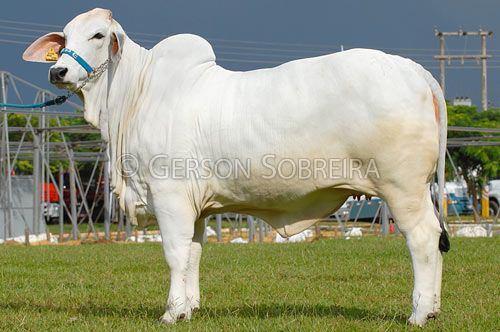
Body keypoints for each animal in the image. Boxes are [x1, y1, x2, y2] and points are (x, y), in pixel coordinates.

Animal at [22, 8, 450, 326]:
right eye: (64, 38)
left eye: (97, 35)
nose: (58, 72)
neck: (135, 94)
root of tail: (414, 71)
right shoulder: (195, 207)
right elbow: (193, 253)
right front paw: (190, 307)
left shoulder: (169, 195)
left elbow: (174, 253)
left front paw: (171, 312)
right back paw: (431, 308)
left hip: (403, 188)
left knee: (423, 239)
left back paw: (419, 313)